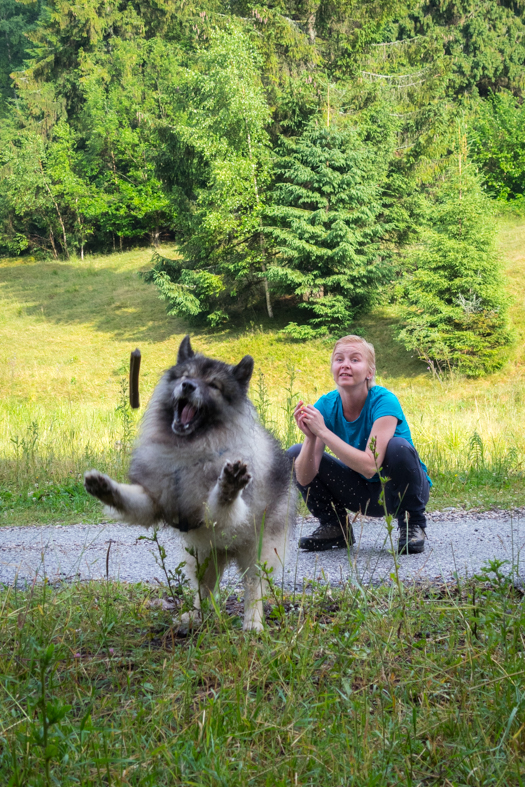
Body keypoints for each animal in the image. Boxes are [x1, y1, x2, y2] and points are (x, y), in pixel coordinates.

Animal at [85, 336, 294, 632]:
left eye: (214, 385)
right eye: (185, 376)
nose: (187, 386)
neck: (188, 451)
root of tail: (227, 551)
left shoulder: (216, 513)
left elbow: (223, 501)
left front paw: (229, 485)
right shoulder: (155, 501)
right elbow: (132, 500)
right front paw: (105, 488)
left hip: (258, 549)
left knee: (254, 586)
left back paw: (253, 623)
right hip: (202, 555)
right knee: (204, 590)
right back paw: (195, 618)